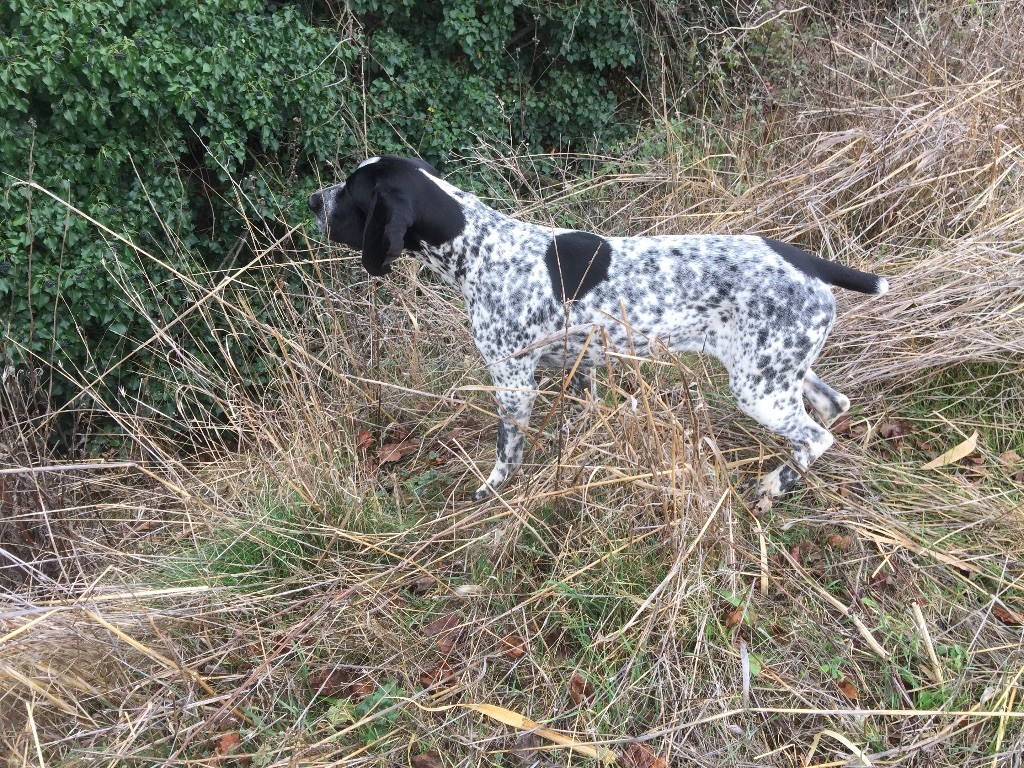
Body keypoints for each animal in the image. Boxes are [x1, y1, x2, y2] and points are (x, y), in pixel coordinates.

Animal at [305, 157, 888, 505]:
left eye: (351, 193)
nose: (312, 199)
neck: (481, 247)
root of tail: (808, 262)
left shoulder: (513, 383)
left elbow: (506, 453)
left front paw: (490, 495)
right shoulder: (580, 369)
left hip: (758, 387)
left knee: (818, 436)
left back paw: (773, 483)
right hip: (781, 369)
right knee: (834, 407)